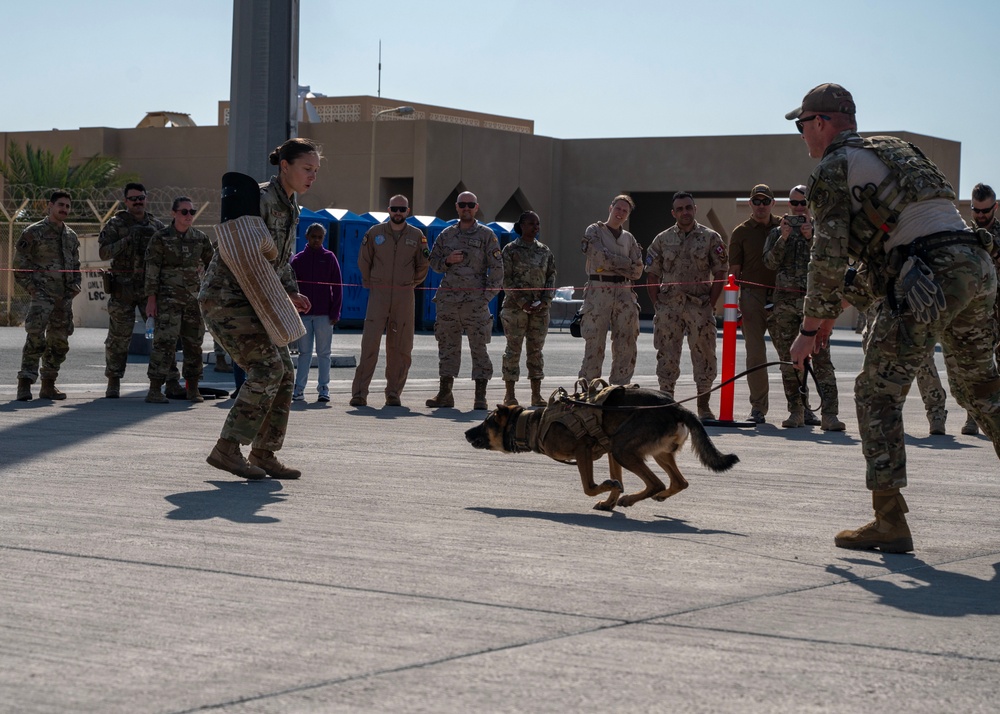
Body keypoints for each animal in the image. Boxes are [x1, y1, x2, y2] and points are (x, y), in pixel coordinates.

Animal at [464, 384, 740, 512]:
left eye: (486, 422)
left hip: (624, 450)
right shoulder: (608, 455)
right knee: (678, 482)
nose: (466, 433)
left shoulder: (584, 450)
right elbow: (615, 481)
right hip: (654, 453)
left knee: (657, 482)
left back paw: (633, 498)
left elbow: (589, 487)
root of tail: (676, 407)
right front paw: (609, 501)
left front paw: (608, 488)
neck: (535, 424)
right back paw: (657, 496)